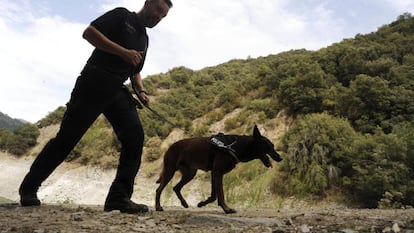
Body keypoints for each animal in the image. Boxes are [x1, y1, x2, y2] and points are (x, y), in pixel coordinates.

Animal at [154, 124, 284, 214]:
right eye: (269, 146)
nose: (280, 157)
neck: (235, 146)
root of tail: (170, 147)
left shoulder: (214, 174)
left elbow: (214, 195)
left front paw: (202, 203)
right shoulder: (217, 173)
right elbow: (220, 194)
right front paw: (227, 209)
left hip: (190, 173)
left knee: (176, 187)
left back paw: (184, 203)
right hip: (170, 171)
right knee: (159, 189)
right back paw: (158, 207)